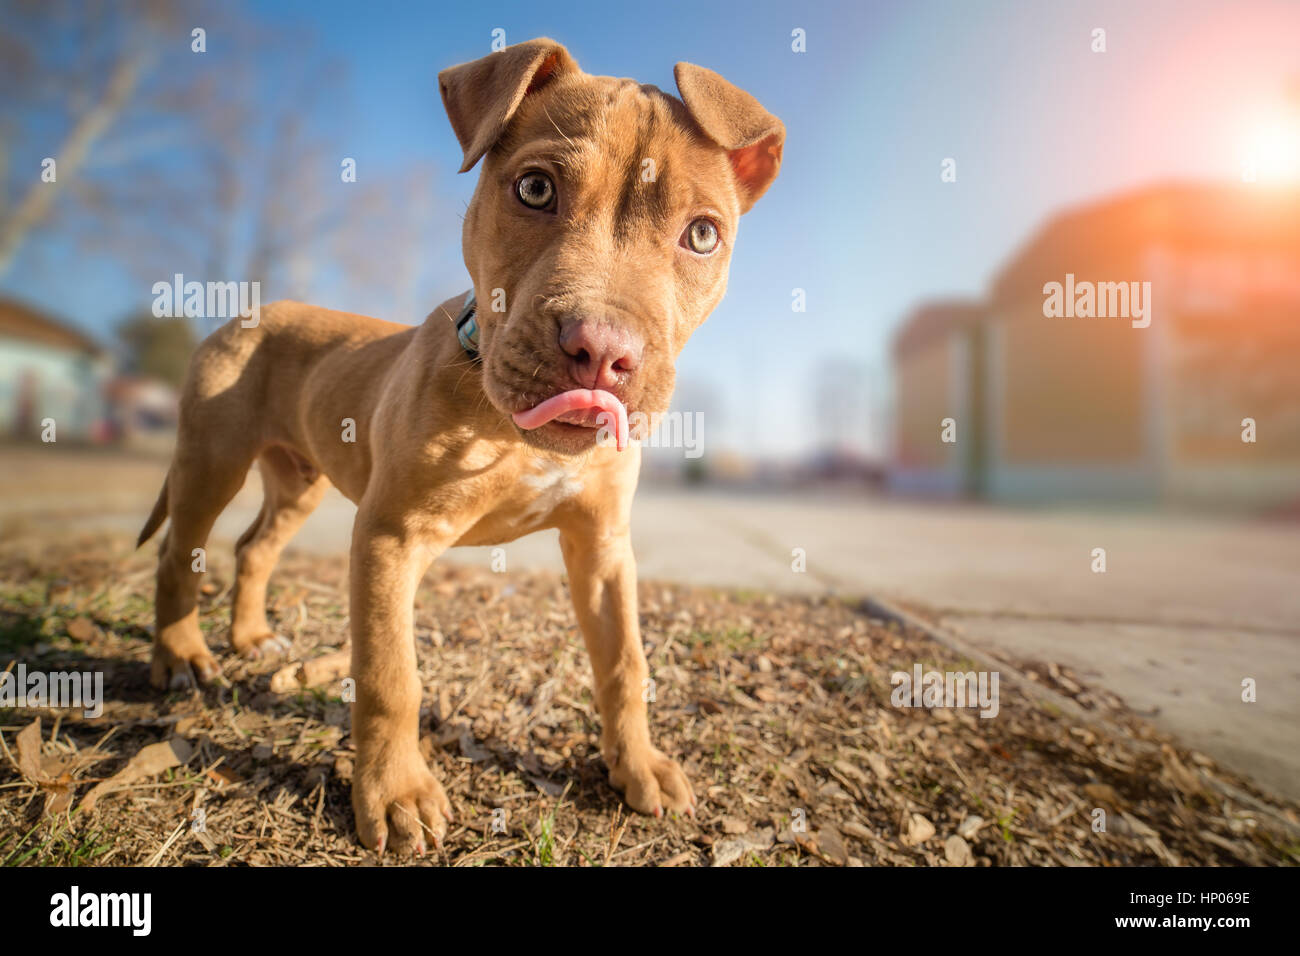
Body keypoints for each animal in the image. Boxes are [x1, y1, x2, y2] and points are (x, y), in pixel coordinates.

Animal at [134, 41, 780, 858]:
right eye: (535, 189)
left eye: (702, 234)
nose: (602, 353)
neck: (507, 430)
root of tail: (249, 311)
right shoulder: (389, 537)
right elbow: (390, 676)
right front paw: (396, 794)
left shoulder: (603, 548)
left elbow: (624, 662)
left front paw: (637, 766)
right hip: (210, 460)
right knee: (179, 552)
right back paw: (181, 655)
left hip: (300, 478)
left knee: (255, 546)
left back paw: (250, 635)